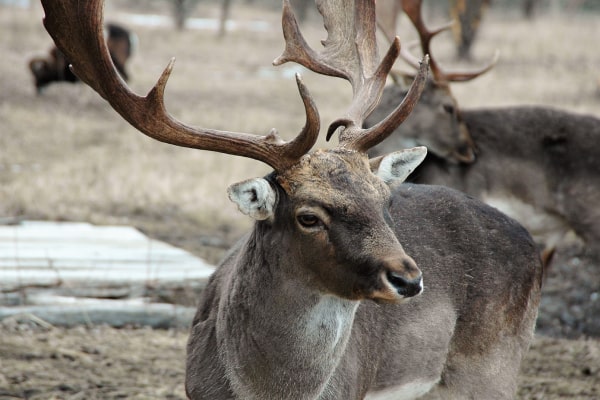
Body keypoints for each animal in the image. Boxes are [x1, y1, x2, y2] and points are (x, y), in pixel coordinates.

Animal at [41, 0, 542, 399]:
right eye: (308, 217)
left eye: (386, 203)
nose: (408, 279)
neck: (269, 392)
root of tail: (533, 246)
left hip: (494, 367)